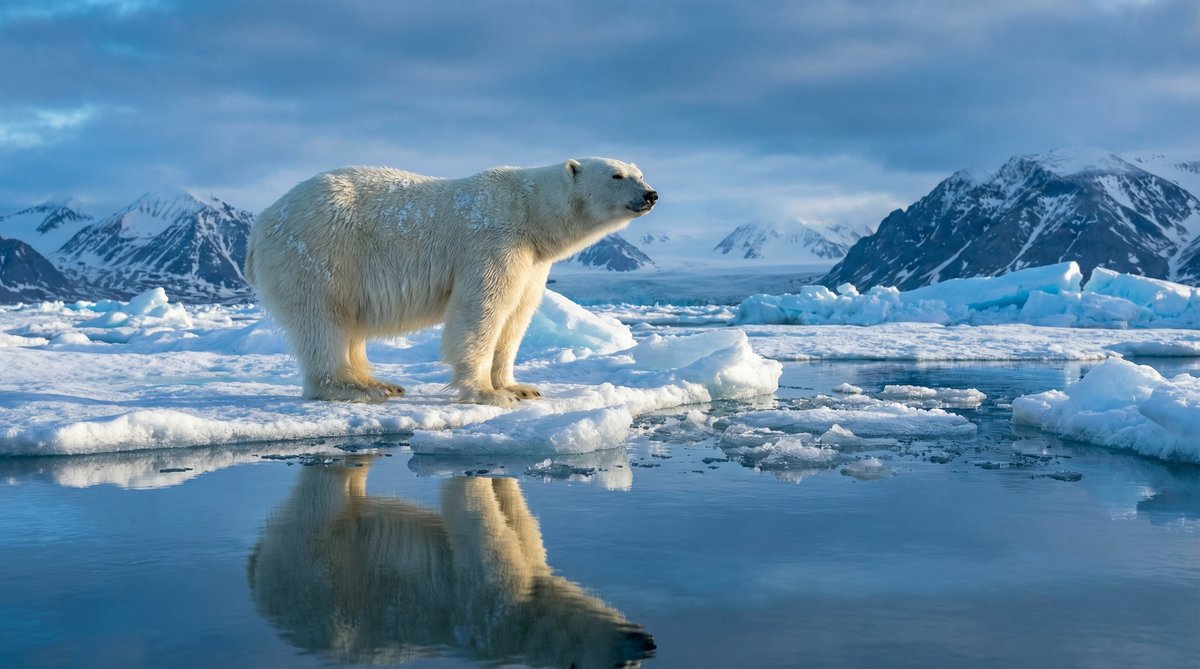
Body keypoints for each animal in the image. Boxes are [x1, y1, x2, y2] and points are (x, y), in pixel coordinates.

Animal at [245, 158, 657, 405]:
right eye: (616, 175)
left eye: (639, 173)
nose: (650, 194)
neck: (530, 214)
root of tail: (262, 222)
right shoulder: (494, 242)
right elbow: (481, 311)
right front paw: (488, 393)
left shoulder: (532, 262)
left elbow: (516, 317)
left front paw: (519, 387)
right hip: (321, 252)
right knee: (322, 319)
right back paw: (352, 387)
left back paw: (380, 382)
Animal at [246, 460, 656, 667]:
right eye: (624, 668)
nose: (647, 644)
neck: (525, 624)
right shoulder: (490, 610)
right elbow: (480, 536)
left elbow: (519, 524)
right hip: (319, 574)